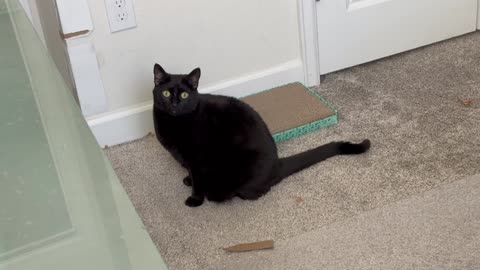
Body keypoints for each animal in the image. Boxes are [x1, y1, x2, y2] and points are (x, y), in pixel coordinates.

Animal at [152, 63, 370, 207]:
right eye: (165, 93)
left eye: (184, 95)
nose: (174, 104)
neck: (172, 123)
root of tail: (277, 163)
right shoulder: (185, 159)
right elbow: (190, 173)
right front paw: (188, 180)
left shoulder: (197, 159)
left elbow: (197, 179)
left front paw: (195, 199)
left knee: (252, 192)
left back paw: (219, 193)